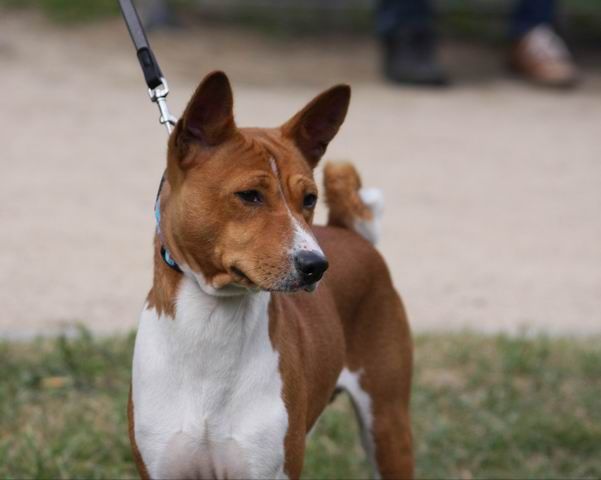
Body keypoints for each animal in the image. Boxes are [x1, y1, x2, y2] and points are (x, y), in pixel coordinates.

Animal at [129, 71, 413, 480]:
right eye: (250, 195)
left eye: (309, 199)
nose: (316, 265)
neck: (211, 328)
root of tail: (347, 231)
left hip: (387, 424)